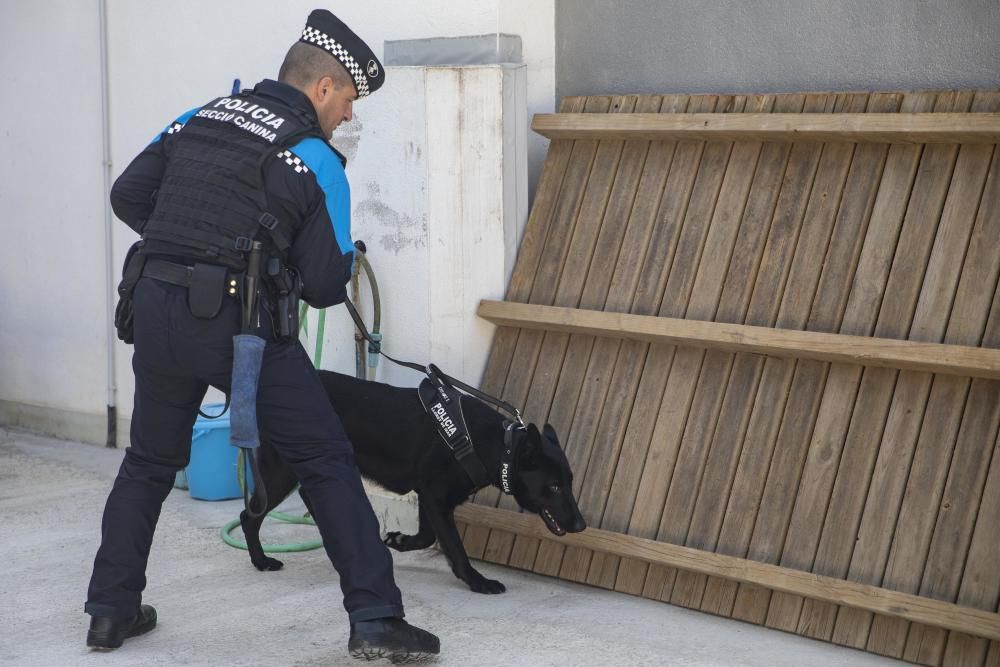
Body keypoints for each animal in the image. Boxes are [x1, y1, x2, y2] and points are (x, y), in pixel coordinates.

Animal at [240, 370, 584, 596]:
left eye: (570, 482)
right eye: (554, 486)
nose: (581, 525)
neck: (494, 445)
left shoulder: (429, 498)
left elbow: (425, 535)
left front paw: (399, 540)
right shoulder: (435, 499)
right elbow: (454, 548)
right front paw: (477, 581)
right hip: (281, 472)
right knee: (249, 516)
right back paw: (260, 560)